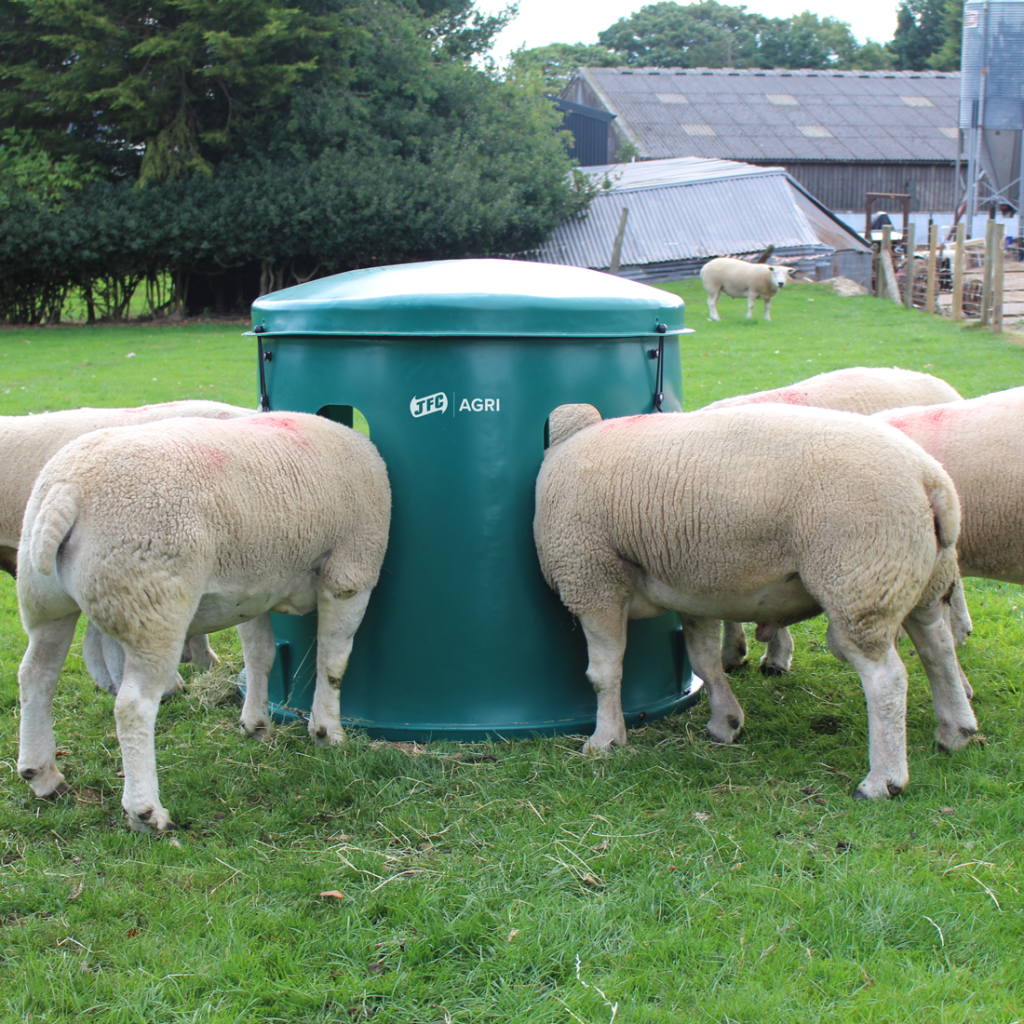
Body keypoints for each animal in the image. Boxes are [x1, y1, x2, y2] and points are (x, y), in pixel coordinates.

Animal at [16, 411, 391, 835]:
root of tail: (67, 490)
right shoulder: (349, 573)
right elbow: (333, 660)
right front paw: (328, 731)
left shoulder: (253, 589)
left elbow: (260, 656)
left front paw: (256, 724)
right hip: (153, 605)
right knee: (132, 706)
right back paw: (146, 811)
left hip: (45, 600)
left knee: (36, 677)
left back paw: (42, 774)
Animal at [536, 401, 974, 798]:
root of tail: (932, 479)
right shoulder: (694, 589)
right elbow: (704, 661)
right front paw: (725, 723)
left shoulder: (591, 579)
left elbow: (603, 673)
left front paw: (605, 740)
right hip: (920, 579)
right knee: (938, 647)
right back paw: (956, 730)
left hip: (859, 582)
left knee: (887, 679)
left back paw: (883, 780)